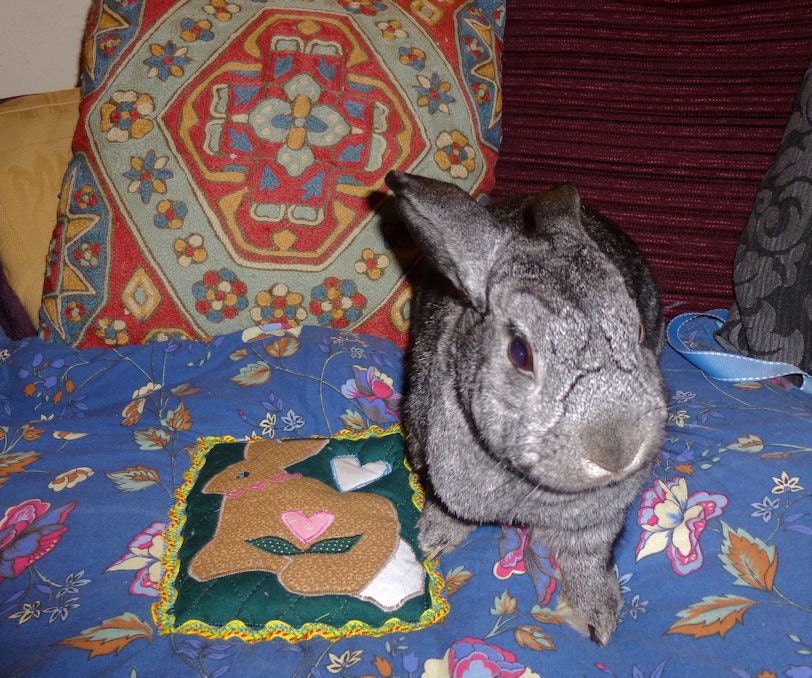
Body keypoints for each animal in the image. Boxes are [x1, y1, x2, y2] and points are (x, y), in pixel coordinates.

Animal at [385, 171, 667, 646]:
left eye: (640, 331)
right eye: (520, 353)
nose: (618, 449)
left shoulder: (597, 522)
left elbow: (588, 558)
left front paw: (599, 617)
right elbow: (448, 510)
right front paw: (434, 540)